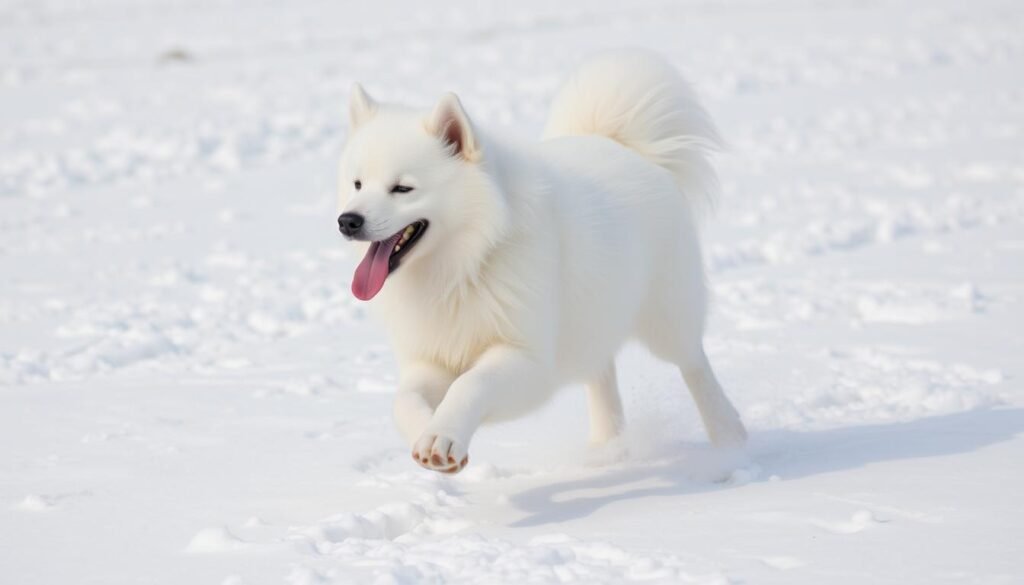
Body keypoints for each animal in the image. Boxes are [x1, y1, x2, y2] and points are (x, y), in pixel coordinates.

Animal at [339, 49, 749, 471]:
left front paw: (443, 438)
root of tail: (624, 145)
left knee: (694, 364)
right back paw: (608, 449)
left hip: (666, 315)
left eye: (403, 188)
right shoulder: (431, 359)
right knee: (602, 372)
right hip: (592, 321)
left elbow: (471, 384)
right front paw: (427, 433)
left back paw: (729, 439)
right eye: (357, 184)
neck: (466, 263)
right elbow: (402, 401)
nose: (347, 221)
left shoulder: (528, 360)